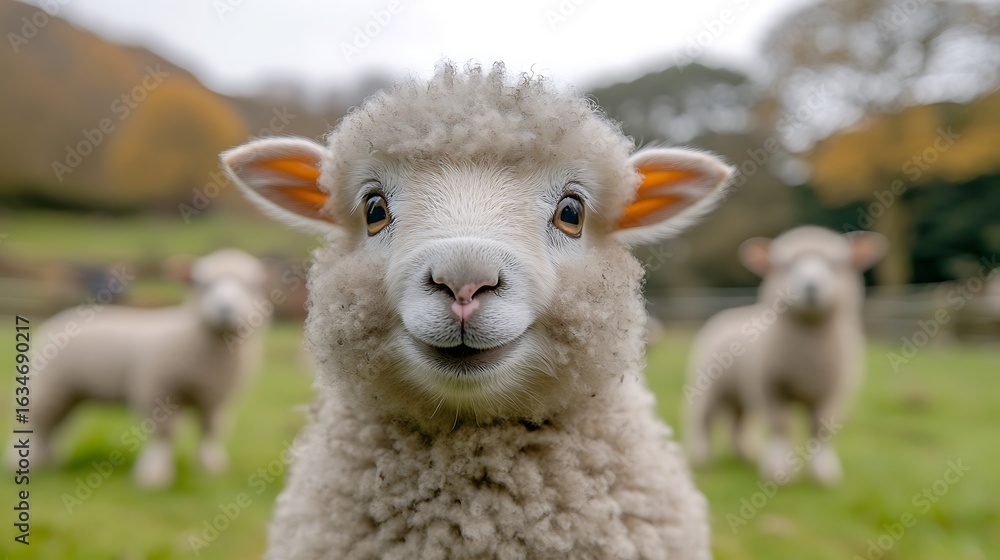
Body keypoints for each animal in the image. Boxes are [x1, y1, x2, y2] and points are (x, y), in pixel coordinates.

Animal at [24, 249, 268, 488]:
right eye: (202, 283)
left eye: (252, 284)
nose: (225, 308)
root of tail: (58, 317)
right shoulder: (157, 390)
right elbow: (164, 434)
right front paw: (155, 475)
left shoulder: (216, 398)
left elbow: (211, 430)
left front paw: (210, 466)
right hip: (48, 384)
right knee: (39, 422)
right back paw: (30, 462)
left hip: (69, 392)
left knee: (56, 425)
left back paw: (51, 461)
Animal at [685, 226, 887, 486]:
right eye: (784, 265)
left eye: (836, 263)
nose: (811, 287)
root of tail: (728, 314)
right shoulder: (769, 387)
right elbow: (780, 427)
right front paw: (779, 471)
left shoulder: (833, 391)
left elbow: (820, 429)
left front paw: (824, 473)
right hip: (710, 384)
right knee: (702, 418)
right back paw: (702, 457)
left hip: (740, 390)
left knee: (739, 421)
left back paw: (745, 453)